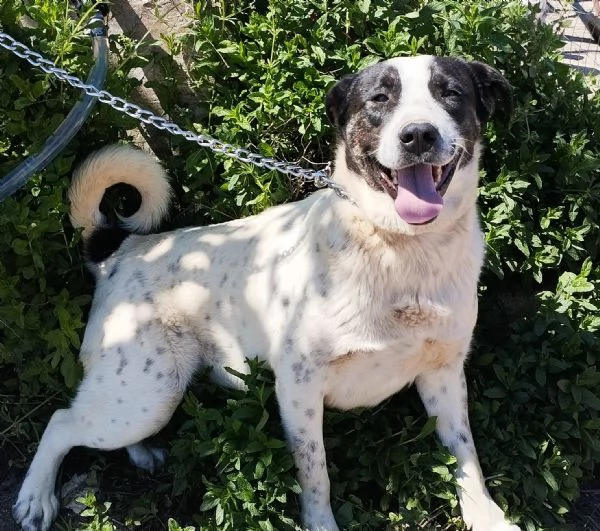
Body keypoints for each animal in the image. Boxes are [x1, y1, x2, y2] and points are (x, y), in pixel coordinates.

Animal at [15, 55, 520, 531]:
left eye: (450, 93)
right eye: (380, 98)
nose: (418, 135)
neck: (399, 249)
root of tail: (119, 250)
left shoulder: (443, 373)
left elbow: (466, 456)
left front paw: (487, 517)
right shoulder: (298, 385)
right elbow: (316, 472)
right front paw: (321, 525)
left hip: (142, 392)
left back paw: (141, 453)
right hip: (148, 393)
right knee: (61, 423)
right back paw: (35, 498)